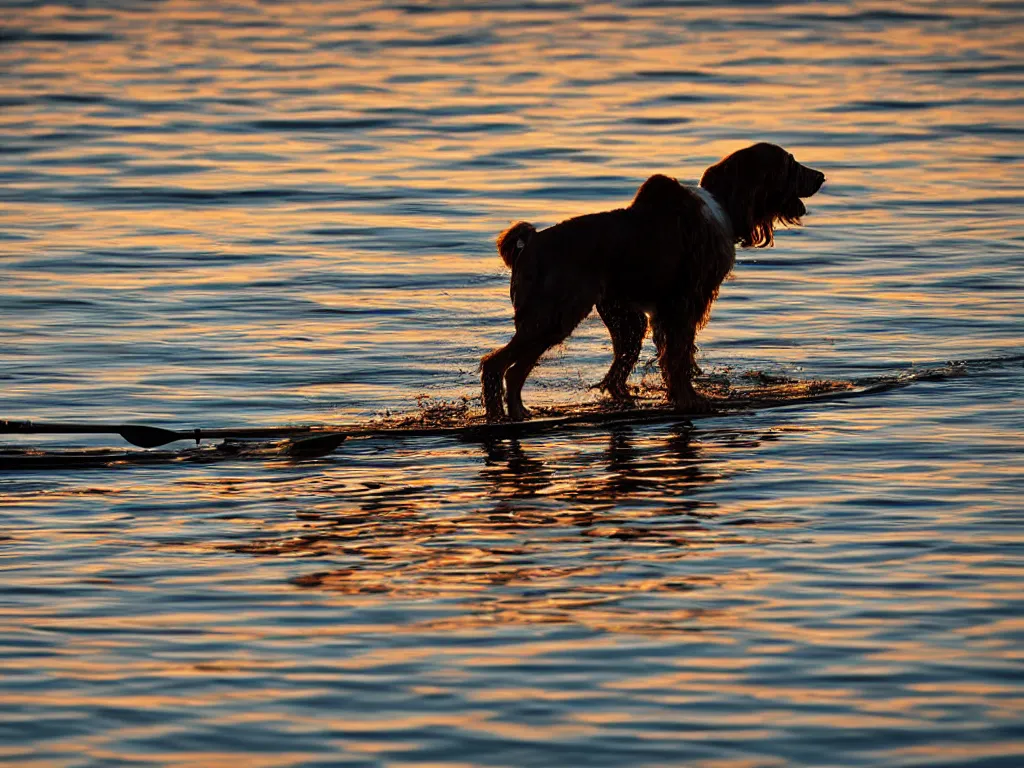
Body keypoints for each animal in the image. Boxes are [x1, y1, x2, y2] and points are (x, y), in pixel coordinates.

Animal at [479, 143, 823, 421]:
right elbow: (678, 355)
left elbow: (673, 356)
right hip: (556, 311)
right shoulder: (684, 301)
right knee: (501, 365)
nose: (821, 175)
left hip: (601, 315)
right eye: (791, 163)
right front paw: (690, 400)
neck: (724, 207)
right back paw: (508, 413)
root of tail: (529, 244)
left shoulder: (655, 309)